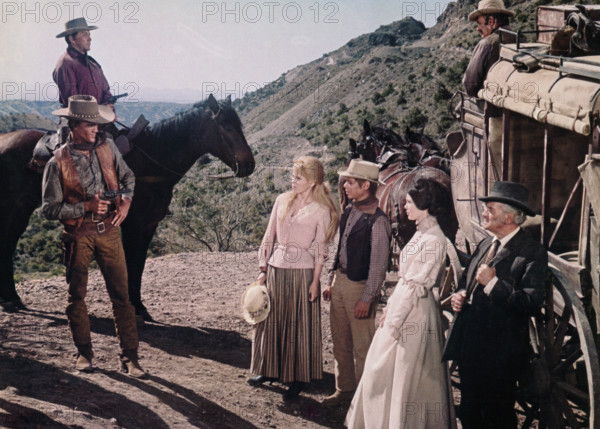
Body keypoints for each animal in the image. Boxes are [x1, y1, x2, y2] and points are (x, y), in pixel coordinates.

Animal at [0, 94, 254, 320]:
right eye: (226, 127)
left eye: (240, 125)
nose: (249, 165)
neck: (152, 161)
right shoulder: (133, 224)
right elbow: (132, 263)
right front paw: (135, 307)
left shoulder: (149, 224)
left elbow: (139, 263)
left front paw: (140, 306)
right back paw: (10, 299)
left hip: (21, 208)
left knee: (9, 242)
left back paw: (12, 299)